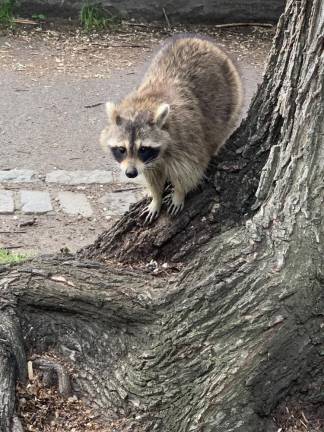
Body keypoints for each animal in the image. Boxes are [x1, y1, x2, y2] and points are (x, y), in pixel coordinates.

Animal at [101, 34, 243, 223]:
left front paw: (179, 193)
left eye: (143, 149)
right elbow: (152, 175)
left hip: (232, 96)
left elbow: (189, 171)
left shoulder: (187, 138)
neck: (141, 108)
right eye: (121, 149)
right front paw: (156, 197)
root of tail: (197, 38)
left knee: (218, 133)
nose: (130, 173)